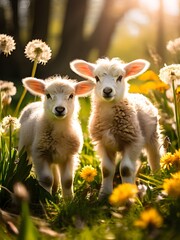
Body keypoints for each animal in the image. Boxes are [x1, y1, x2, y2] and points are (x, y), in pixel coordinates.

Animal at [70, 58, 163, 199]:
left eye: (120, 77)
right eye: (96, 78)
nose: (107, 91)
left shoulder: (133, 141)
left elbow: (125, 169)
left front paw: (129, 197)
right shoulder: (103, 143)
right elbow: (107, 170)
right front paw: (104, 195)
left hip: (153, 135)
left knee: (155, 157)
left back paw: (157, 179)